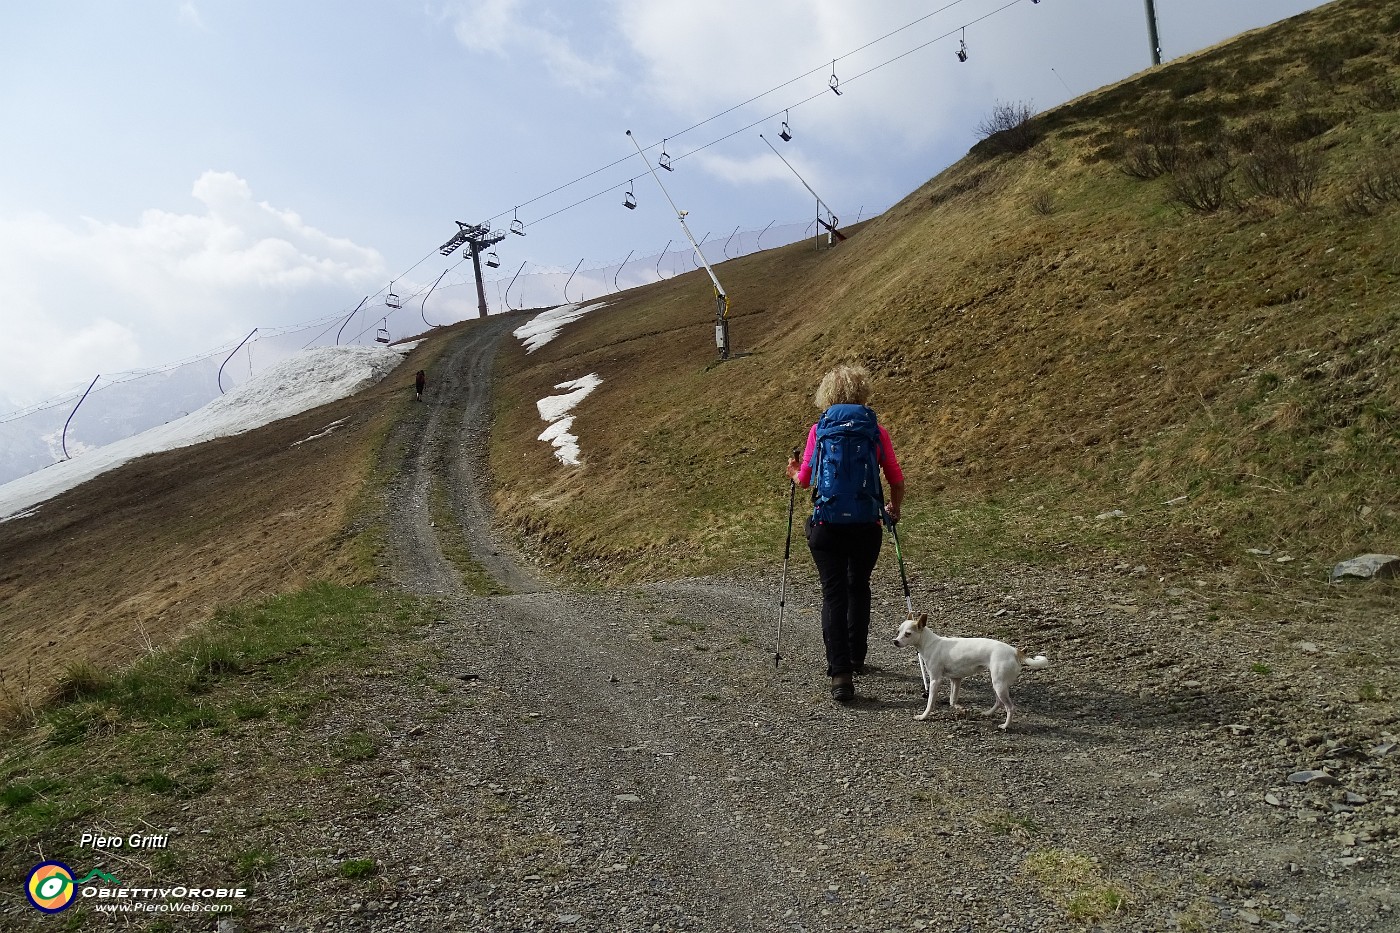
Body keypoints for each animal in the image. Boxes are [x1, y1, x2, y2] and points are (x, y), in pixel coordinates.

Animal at [896, 610, 1052, 728]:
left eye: (908, 634)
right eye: (898, 631)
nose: (895, 641)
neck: (930, 643)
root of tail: (1014, 651)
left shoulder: (935, 680)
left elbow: (930, 703)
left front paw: (923, 716)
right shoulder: (955, 679)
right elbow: (952, 699)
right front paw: (959, 708)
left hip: (999, 685)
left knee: (1010, 707)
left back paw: (1005, 726)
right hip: (998, 684)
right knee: (999, 702)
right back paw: (988, 714)